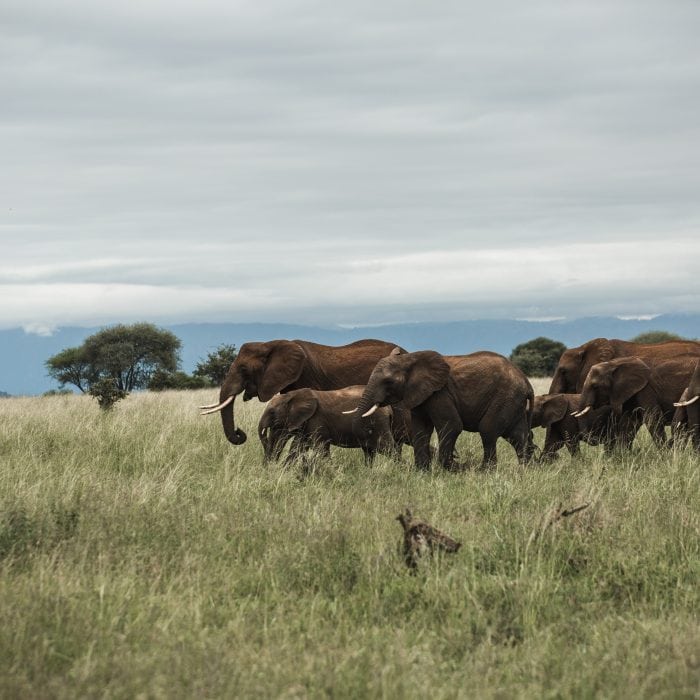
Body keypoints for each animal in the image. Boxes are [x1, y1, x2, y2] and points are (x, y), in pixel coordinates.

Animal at [257, 386, 396, 464]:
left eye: (272, 412)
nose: (270, 466)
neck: (292, 395)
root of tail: (388, 409)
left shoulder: (317, 419)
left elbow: (320, 447)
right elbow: (298, 447)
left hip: (378, 423)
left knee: (388, 448)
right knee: (369, 452)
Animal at [349, 348, 534, 470]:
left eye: (388, 382)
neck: (410, 359)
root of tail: (526, 381)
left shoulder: (440, 393)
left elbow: (451, 425)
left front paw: (447, 469)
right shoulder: (420, 394)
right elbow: (420, 429)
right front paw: (422, 471)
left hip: (505, 397)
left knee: (488, 430)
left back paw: (484, 470)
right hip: (512, 401)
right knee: (518, 435)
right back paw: (524, 470)